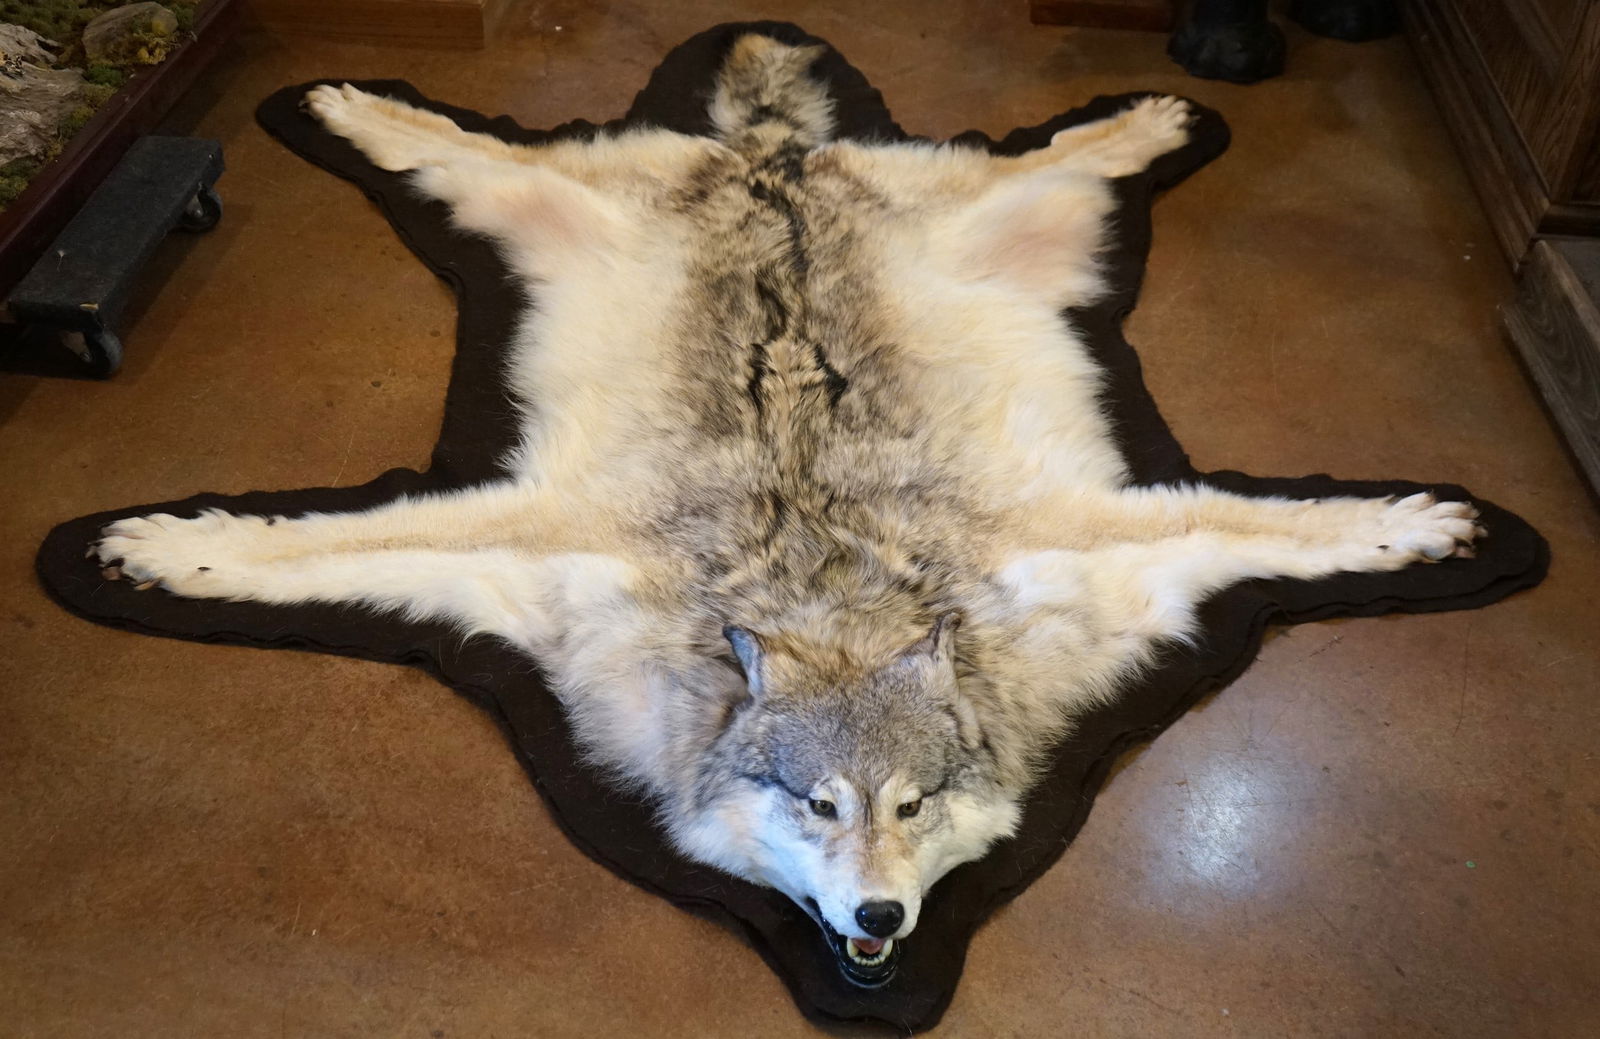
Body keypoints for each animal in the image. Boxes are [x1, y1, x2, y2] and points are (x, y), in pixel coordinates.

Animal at [91, 36, 1482, 987]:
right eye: (820, 806)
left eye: (912, 806)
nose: (878, 920)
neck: (830, 592)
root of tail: (773, 158)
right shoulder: (542, 544)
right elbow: (321, 540)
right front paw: (163, 544)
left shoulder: (1082, 550)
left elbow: (1277, 523)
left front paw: (1424, 524)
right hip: (525, 203)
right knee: (464, 144)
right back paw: (343, 103)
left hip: (1002, 207)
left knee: (1061, 152)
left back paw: (1147, 115)